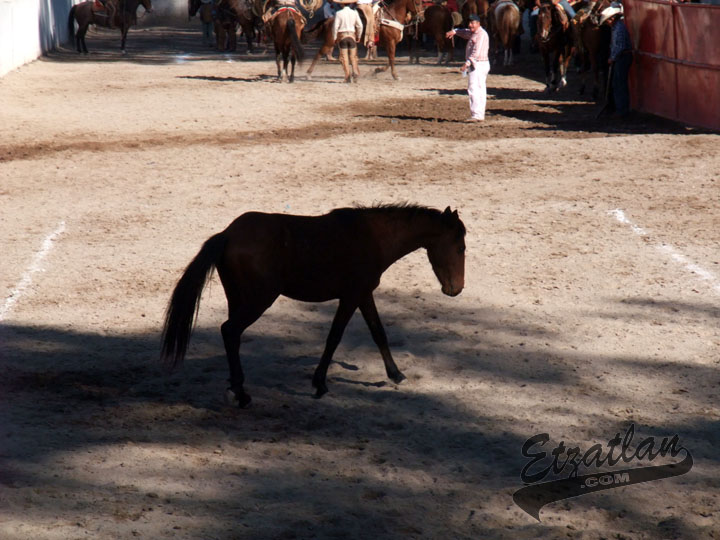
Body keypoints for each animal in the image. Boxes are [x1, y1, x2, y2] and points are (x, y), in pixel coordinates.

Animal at [161, 204, 467, 408]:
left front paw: (396, 374)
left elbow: (378, 332)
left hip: (237, 298)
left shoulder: (363, 294)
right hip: (258, 300)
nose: (456, 289)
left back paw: (235, 388)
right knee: (230, 331)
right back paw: (241, 393)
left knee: (230, 337)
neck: (372, 237)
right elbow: (334, 338)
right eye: (460, 247)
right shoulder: (351, 297)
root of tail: (227, 234)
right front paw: (320, 384)